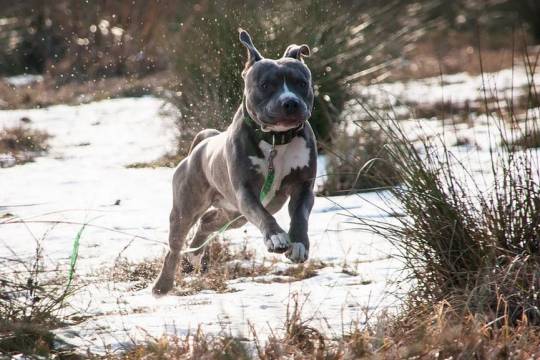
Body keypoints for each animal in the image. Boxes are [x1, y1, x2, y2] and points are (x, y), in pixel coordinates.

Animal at [153, 29, 316, 296]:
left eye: (301, 83)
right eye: (265, 85)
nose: (290, 102)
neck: (276, 139)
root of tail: (201, 145)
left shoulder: (303, 186)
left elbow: (300, 216)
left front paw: (299, 243)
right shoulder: (246, 192)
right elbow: (262, 216)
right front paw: (276, 237)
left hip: (234, 214)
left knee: (208, 222)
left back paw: (195, 254)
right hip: (187, 209)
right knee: (174, 247)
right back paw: (162, 285)